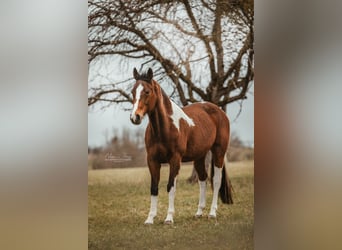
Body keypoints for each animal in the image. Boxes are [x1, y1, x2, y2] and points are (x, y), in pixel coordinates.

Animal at [130, 67, 234, 224]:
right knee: (203, 179)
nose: (134, 117)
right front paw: (150, 218)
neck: (165, 128)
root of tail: (219, 110)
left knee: (216, 181)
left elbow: (171, 187)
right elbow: (154, 188)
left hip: (219, 152)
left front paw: (169, 218)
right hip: (199, 157)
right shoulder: (152, 160)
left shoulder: (175, 160)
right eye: (132, 91)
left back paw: (212, 213)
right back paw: (199, 212)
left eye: (147, 91)